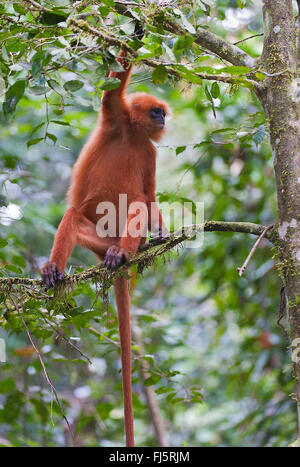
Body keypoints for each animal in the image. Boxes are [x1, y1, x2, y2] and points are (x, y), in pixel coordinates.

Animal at [41, 49, 170, 448]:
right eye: (155, 112)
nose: (163, 118)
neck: (132, 133)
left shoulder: (149, 152)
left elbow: (149, 196)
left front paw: (162, 230)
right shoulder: (115, 117)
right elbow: (114, 86)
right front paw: (138, 34)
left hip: (121, 239)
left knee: (138, 203)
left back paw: (120, 255)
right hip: (95, 236)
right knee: (73, 215)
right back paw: (54, 269)